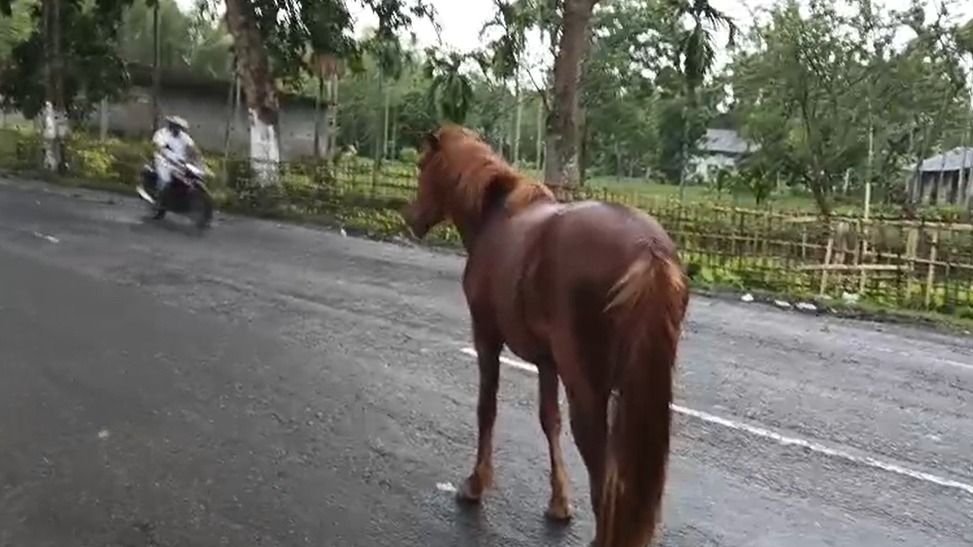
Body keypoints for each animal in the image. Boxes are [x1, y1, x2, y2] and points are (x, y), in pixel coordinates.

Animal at [401, 125, 689, 547]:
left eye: (424, 165)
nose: (412, 218)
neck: (496, 216)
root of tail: (647, 251)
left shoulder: (486, 337)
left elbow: (487, 408)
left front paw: (476, 484)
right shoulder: (547, 361)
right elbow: (548, 421)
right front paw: (559, 502)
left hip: (588, 391)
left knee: (604, 474)